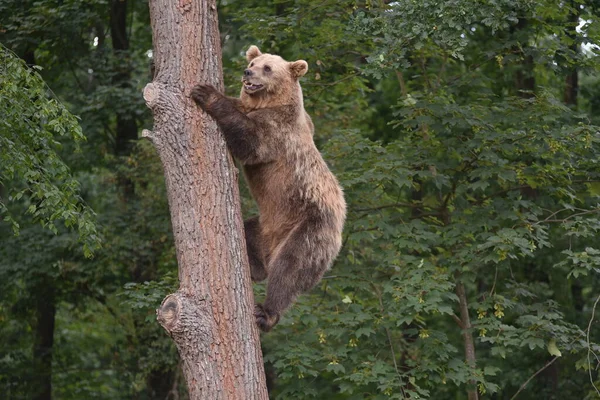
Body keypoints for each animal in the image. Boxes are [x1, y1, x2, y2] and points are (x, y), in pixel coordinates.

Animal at [190, 45, 344, 332]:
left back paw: (267, 312)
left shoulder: (277, 132)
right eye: (253, 62)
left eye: (268, 68)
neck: (269, 103)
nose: (247, 72)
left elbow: (251, 140)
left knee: (289, 268)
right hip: (264, 224)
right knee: (247, 232)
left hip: (310, 227)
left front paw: (206, 92)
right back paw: (253, 267)